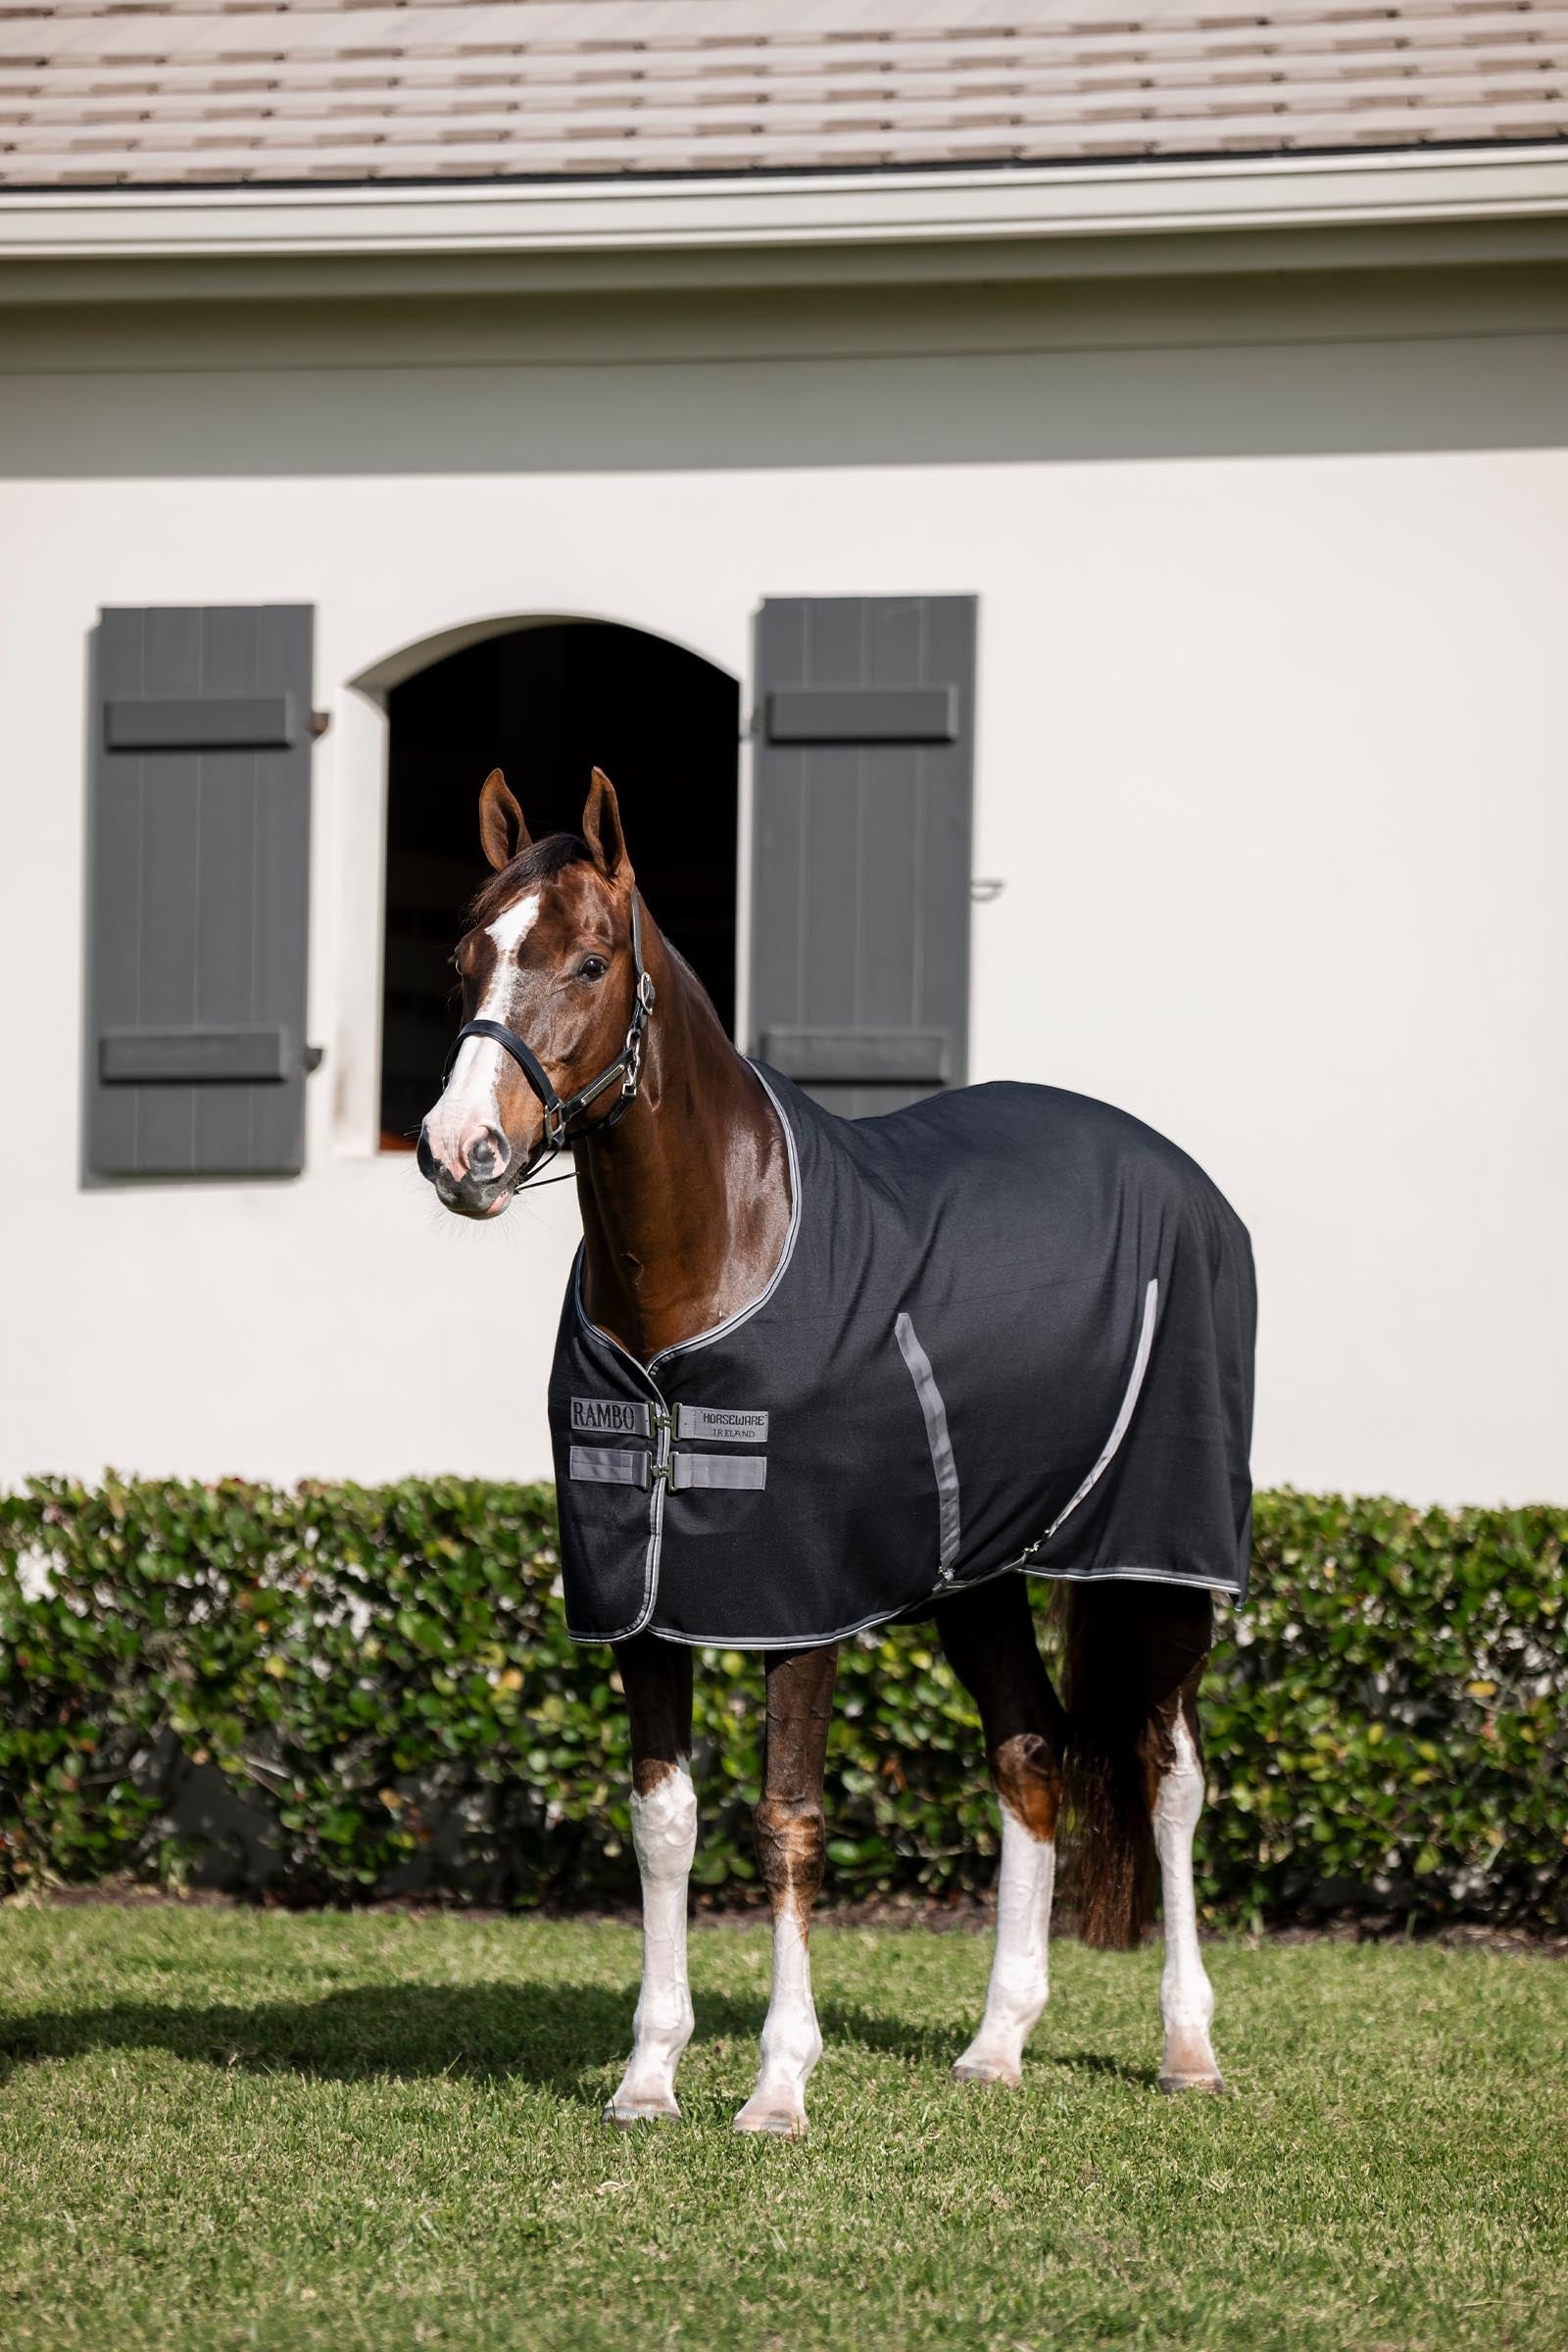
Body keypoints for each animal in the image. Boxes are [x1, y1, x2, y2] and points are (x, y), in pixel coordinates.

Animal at [418, 764, 1255, 2137]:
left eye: (589, 961)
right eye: (463, 961)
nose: (458, 1152)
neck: (714, 1261)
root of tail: (1184, 1179)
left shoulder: (795, 1610)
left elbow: (788, 1825)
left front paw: (777, 2087)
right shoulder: (641, 1607)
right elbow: (662, 1823)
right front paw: (648, 2076)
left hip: (1158, 1557)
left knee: (1166, 1769)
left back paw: (1187, 2046)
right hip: (978, 1574)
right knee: (1030, 1756)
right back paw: (996, 2045)